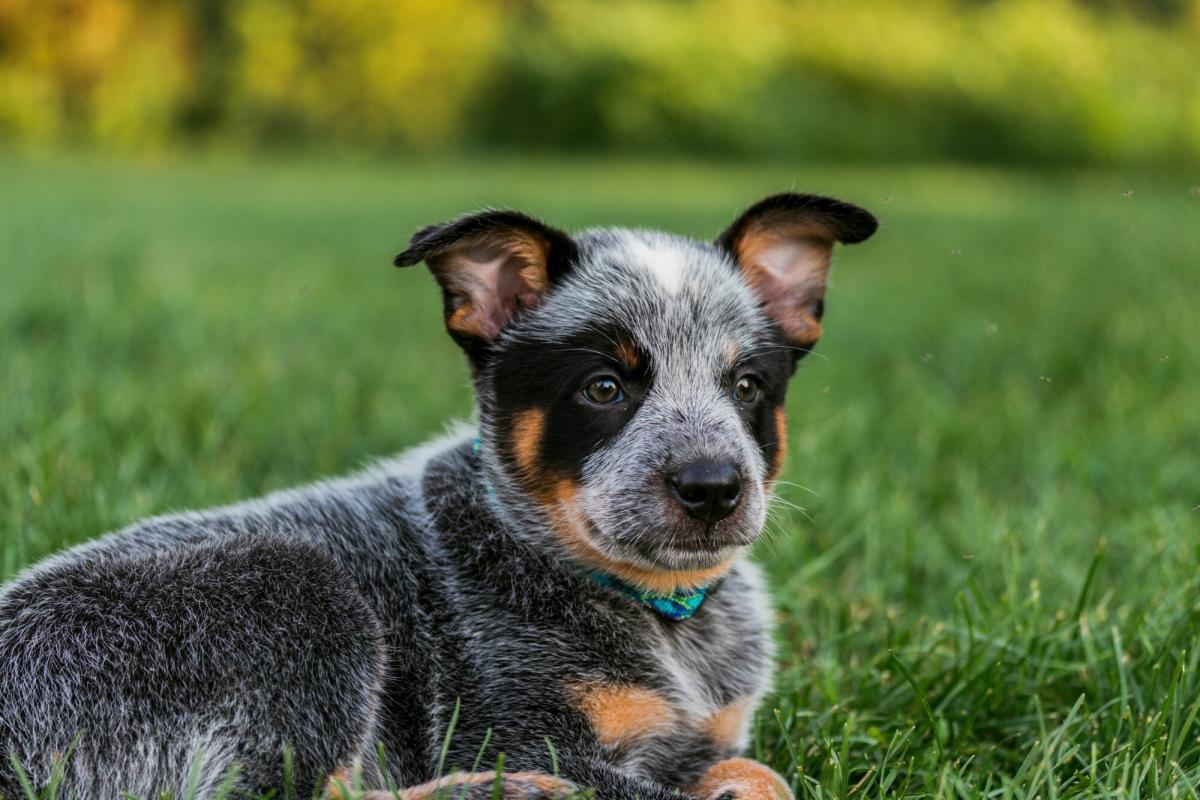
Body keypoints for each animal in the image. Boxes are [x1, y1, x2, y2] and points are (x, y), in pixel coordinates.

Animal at [2, 194, 883, 800]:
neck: (665, 616)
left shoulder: (714, 729)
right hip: (298, 593)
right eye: (603, 387)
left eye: (747, 386)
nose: (712, 486)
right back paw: (509, 797)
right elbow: (705, 786)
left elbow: (754, 767)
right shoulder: (517, 729)